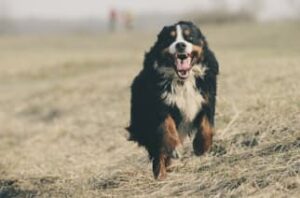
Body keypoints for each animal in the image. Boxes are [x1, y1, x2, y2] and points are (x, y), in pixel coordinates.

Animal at [126, 20, 218, 179]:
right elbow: (166, 126)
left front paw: (201, 147)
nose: (180, 45)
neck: (183, 81)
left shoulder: (207, 97)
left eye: (189, 37)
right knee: (158, 152)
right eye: (170, 38)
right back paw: (161, 174)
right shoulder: (159, 104)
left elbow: (207, 125)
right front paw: (173, 147)